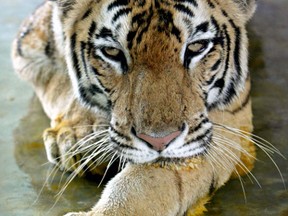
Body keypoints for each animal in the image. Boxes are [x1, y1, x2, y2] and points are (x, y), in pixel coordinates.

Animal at [11, 0, 258, 215]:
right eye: (112, 53)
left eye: (197, 47)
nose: (159, 141)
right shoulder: (30, 45)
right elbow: (58, 79)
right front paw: (79, 136)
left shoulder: (227, 116)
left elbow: (150, 180)